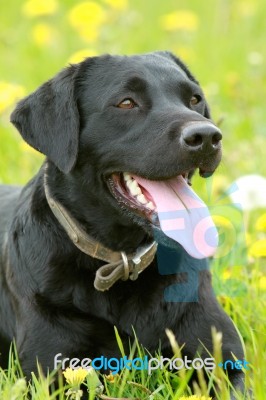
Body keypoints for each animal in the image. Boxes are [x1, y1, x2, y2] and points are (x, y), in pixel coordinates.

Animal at [0, 52, 245, 396]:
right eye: (126, 103)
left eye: (194, 99)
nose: (207, 136)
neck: (123, 261)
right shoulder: (52, 373)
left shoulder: (225, 361)